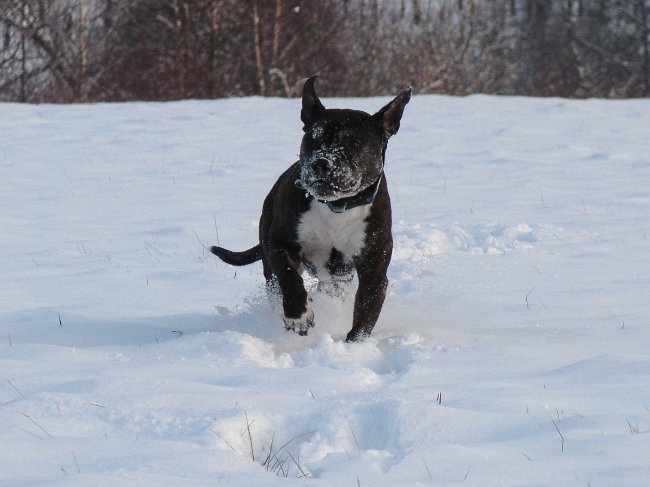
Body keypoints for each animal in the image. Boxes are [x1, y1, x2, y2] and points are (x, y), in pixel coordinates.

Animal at [210, 77, 408, 344]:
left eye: (354, 143)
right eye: (313, 139)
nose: (321, 163)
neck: (336, 207)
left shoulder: (373, 268)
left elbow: (366, 314)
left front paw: (354, 345)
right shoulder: (281, 244)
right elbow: (290, 279)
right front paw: (298, 316)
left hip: (338, 277)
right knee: (277, 286)